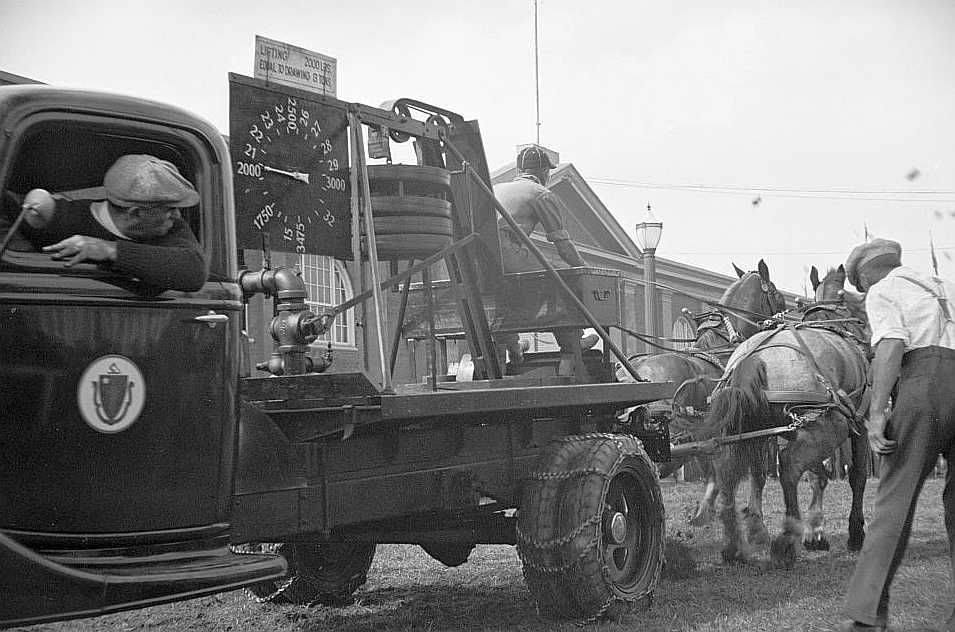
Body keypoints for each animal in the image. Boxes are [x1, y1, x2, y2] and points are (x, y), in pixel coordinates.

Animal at [700, 266, 872, 568]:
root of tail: (754, 359)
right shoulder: (856, 422)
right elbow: (856, 476)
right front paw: (851, 533)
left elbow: (814, 476)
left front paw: (815, 532)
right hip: (829, 427)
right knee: (790, 467)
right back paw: (786, 539)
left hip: (743, 430)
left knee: (727, 472)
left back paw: (734, 544)